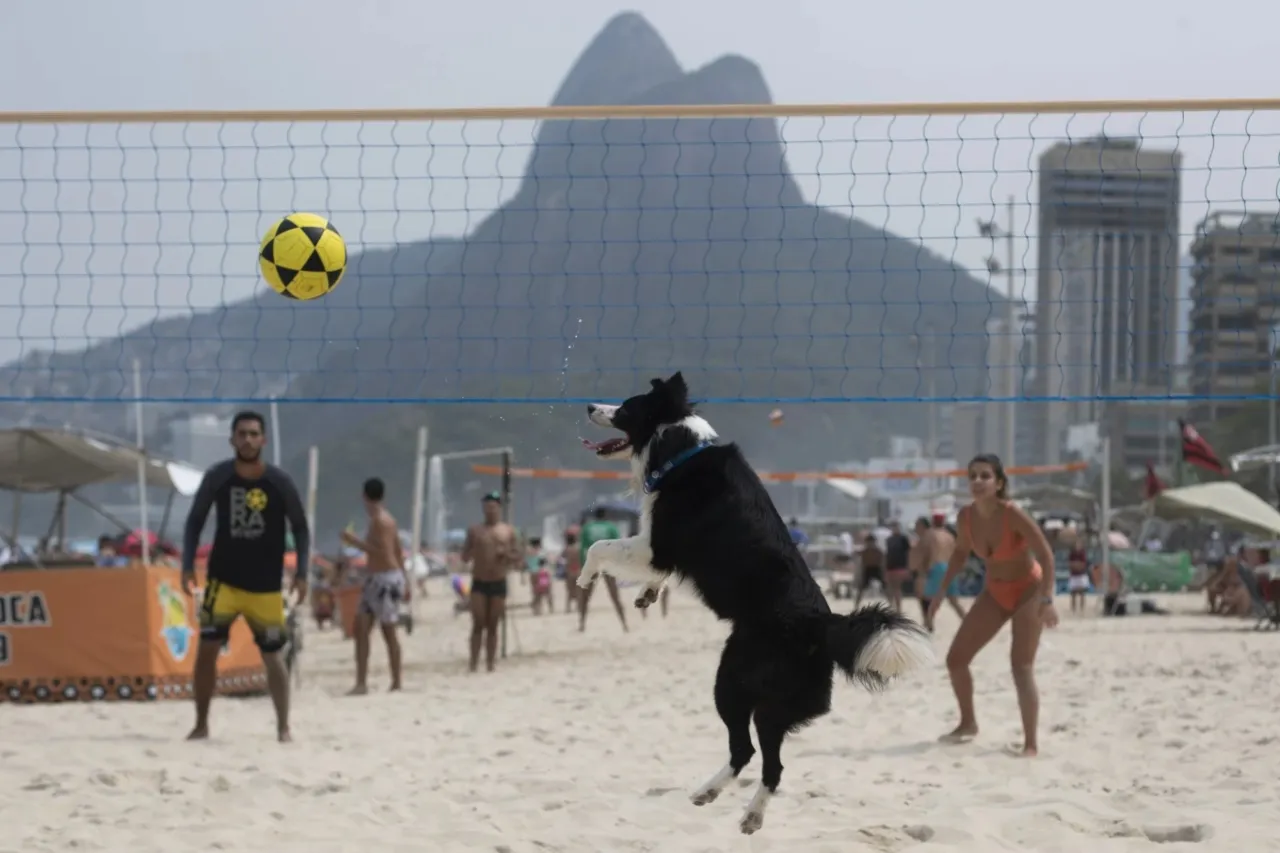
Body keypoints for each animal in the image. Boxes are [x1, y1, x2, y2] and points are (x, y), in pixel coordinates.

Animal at [578, 371, 931, 829]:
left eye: (624, 407)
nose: (589, 407)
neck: (681, 450)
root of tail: (823, 625)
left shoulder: (657, 545)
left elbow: (600, 547)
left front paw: (585, 577)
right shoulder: (663, 552)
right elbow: (651, 572)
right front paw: (647, 593)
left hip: (733, 683)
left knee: (751, 752)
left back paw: (731, 803)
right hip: (775, 702)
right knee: (767, 761)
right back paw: (732, 805)